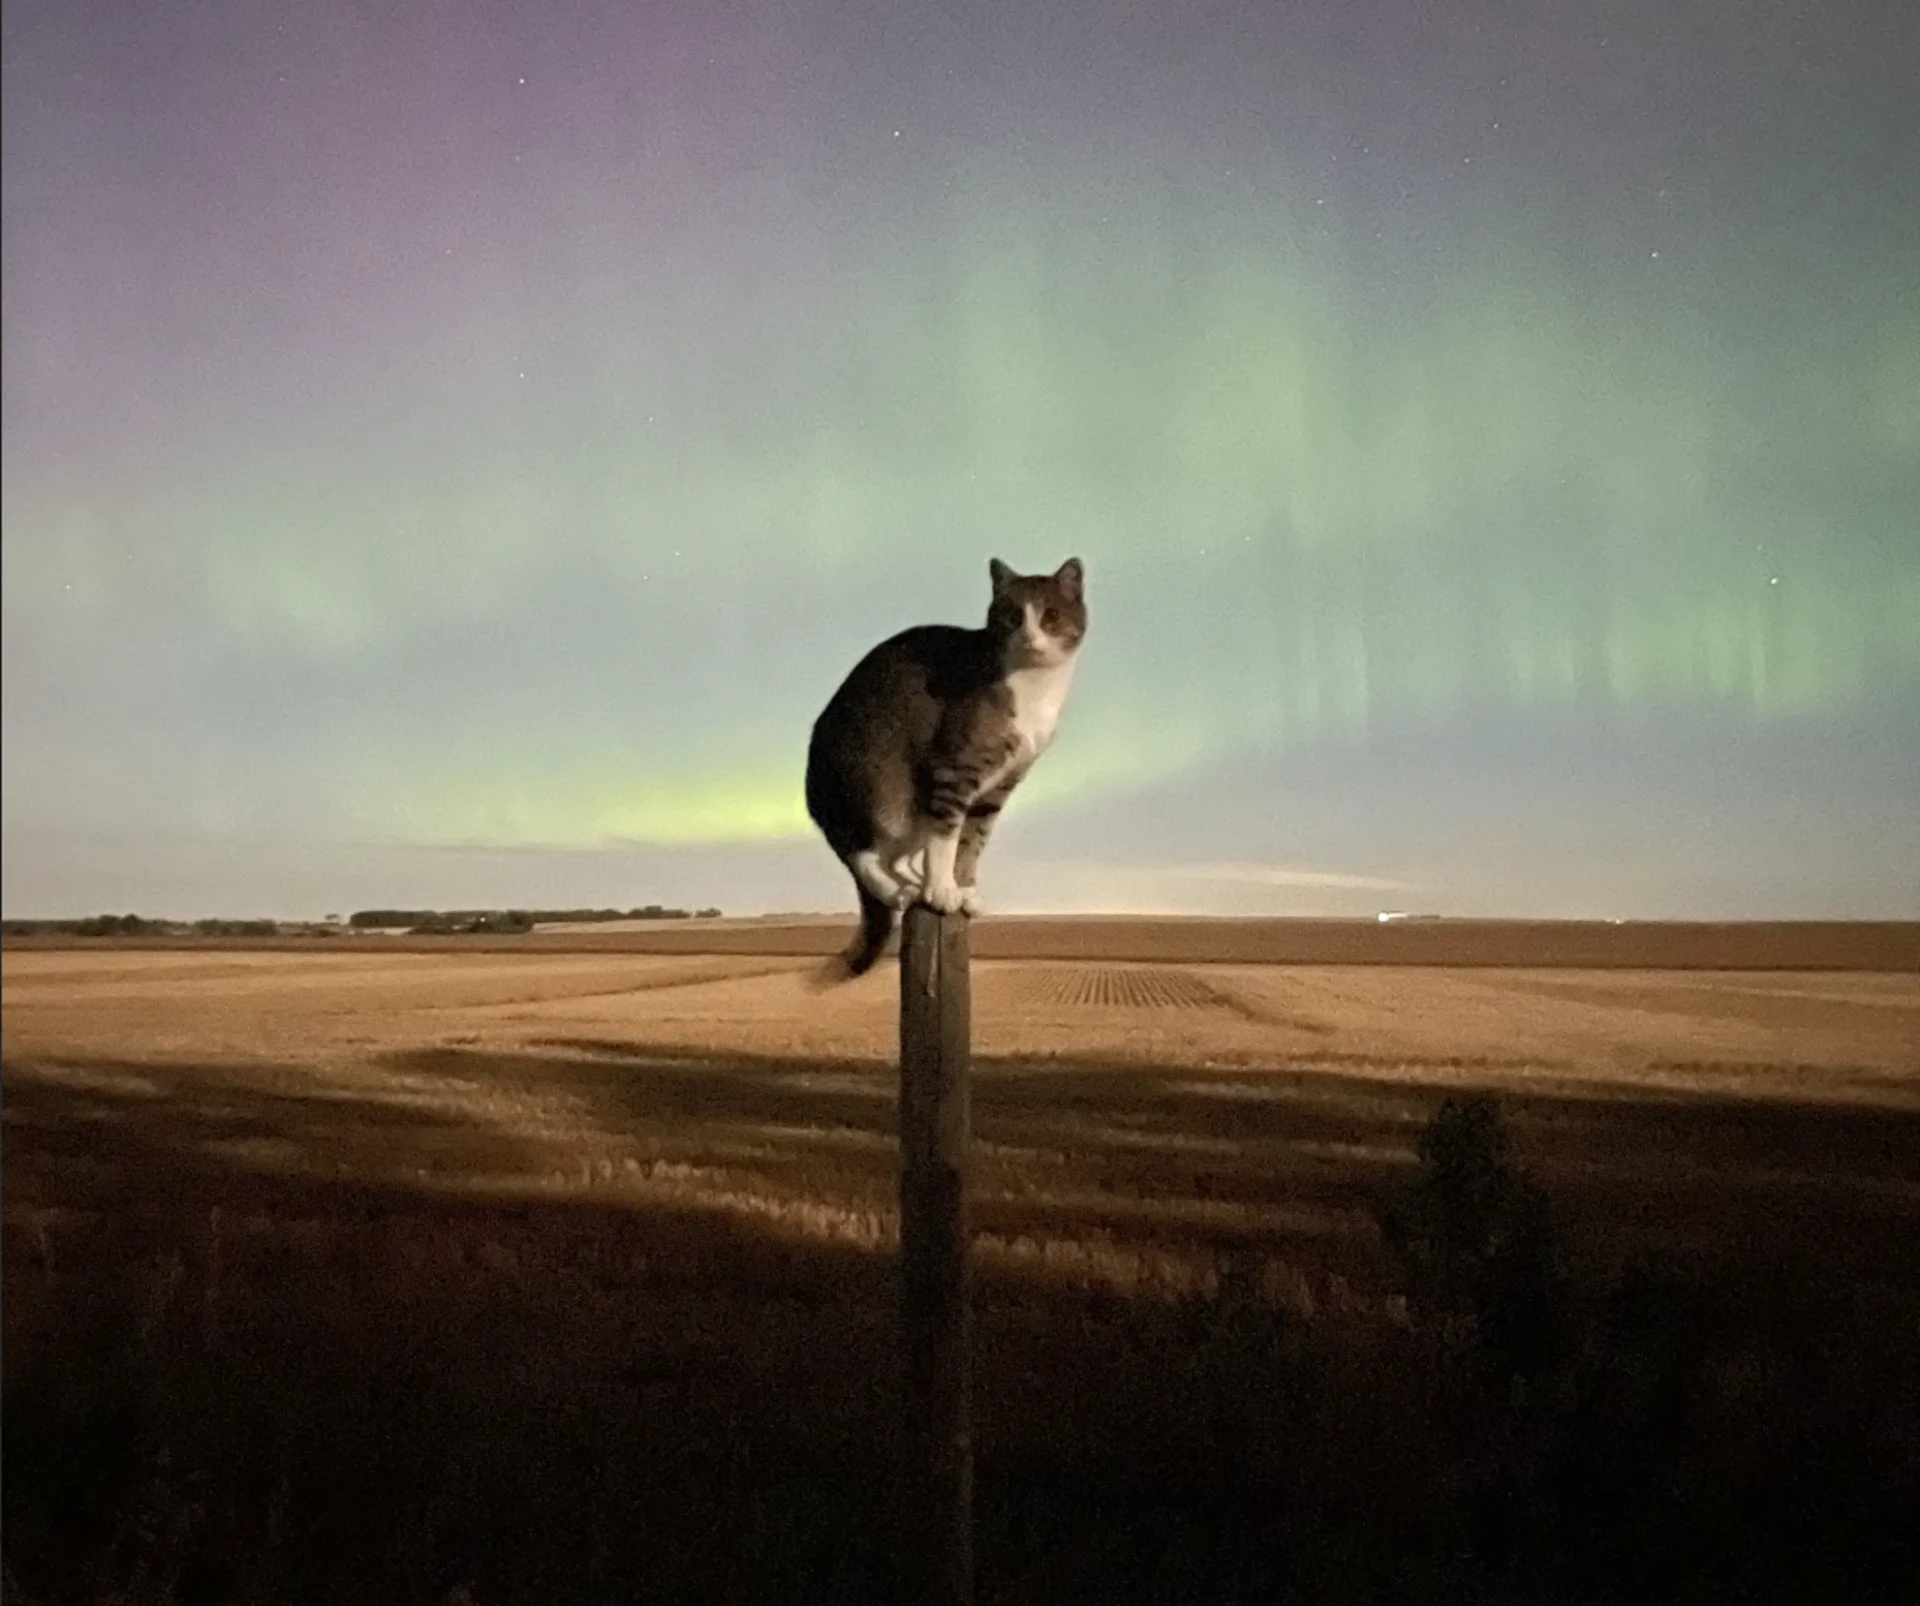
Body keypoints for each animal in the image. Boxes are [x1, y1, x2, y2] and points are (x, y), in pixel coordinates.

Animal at [802, 557, 1090, 972]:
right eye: (1011, 616)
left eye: (1050, 615)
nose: (1028, 636)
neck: (1034, 691)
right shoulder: (954, 769)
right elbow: (947, 834)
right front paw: (940, 889)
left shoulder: (999, 787)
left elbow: (972, 841)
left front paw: (963, 888)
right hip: (881, 795)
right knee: (861, 853)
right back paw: (901, 890)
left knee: (892, 855)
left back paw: (910, 881)